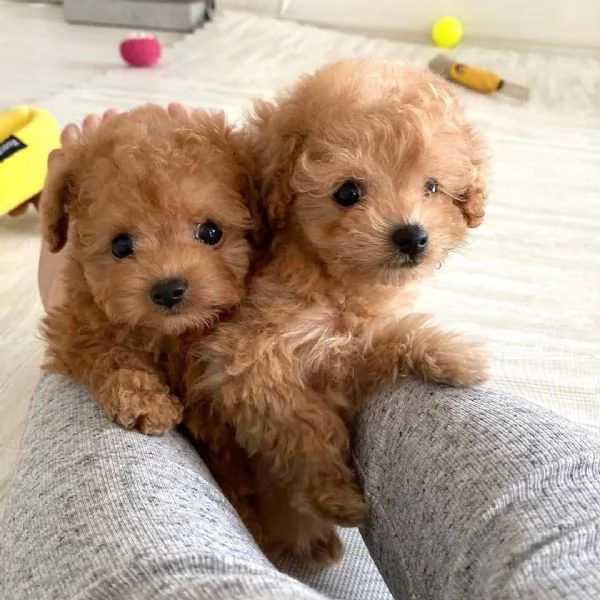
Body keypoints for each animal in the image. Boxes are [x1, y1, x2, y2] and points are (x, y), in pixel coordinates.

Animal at [41, 104, 256, 436]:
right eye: (120, 246)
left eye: (211, 232)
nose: (168, 290)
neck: (171, 333)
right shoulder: (75, 320)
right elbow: (106, 349)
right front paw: (144, 400)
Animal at [186, 59, 488, 564]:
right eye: (347, 193)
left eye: (432, 187)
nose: (412, 237)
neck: (333, 278)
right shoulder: (247, 358)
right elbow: (301, 423)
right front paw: (334, 496)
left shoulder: (345, 345)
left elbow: (380, 341)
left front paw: (451, 355)